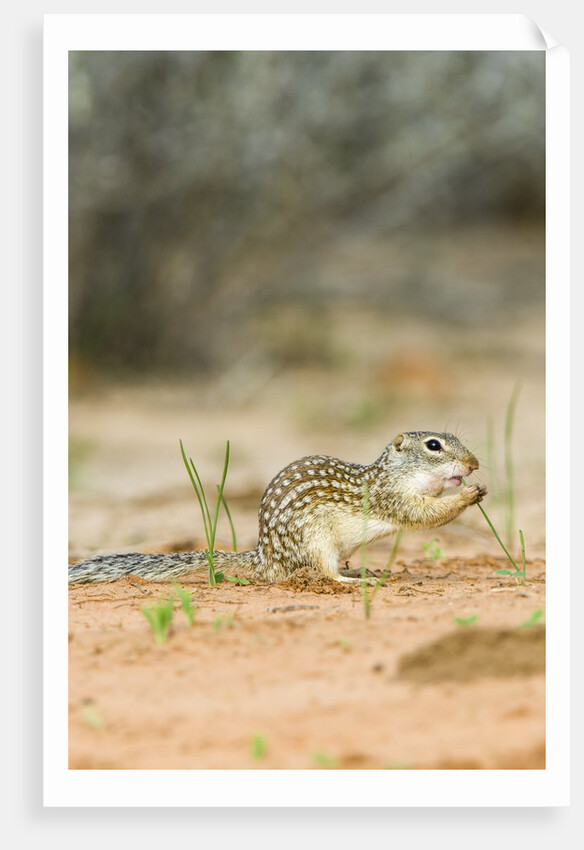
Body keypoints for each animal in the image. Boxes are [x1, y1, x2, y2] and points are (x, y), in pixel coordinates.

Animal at [68, 430, 486, 585]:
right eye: (434, 445)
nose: (474, 464)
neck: (395, 473)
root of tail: (263, 556)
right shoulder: (392, 497)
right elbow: (423, 515)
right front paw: (468, 495)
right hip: (317, 541)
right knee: (324, 572)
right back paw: (355, 581)